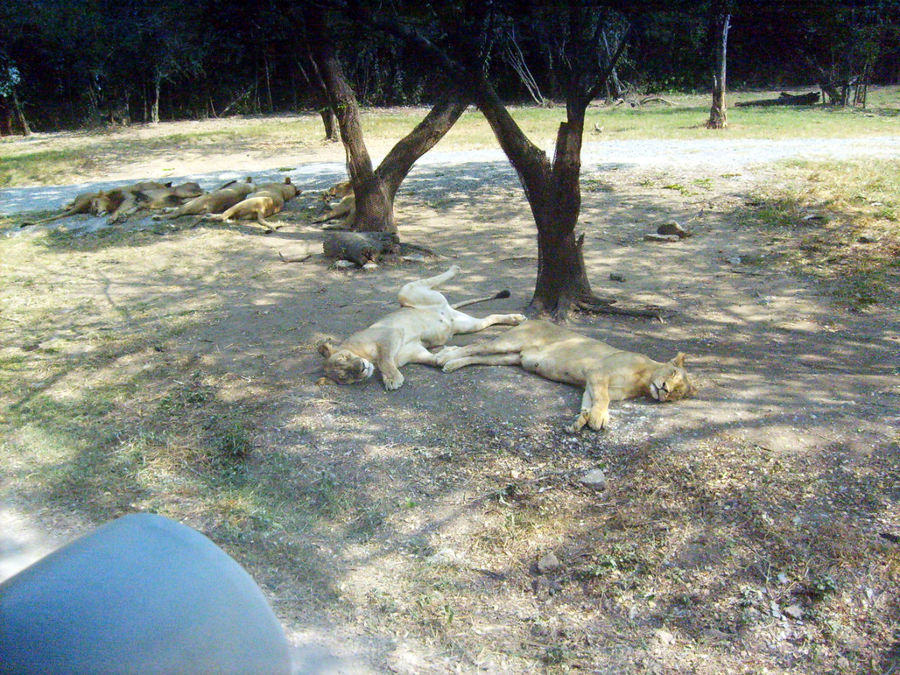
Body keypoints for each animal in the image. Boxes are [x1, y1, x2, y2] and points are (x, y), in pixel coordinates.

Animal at [318, 266, 524, 390]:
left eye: (345, 357)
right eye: (345, 375)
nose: (361, 368)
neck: (367, 358)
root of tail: (446, 308)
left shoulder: (389, 333)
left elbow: (385, 359)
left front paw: (392, 379)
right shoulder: (417, 352)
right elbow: (437, 360)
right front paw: (447, 354)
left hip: (406, 293)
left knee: (422, 281)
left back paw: (454, 268)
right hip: (466, 325)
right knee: (490, 318)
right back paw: (515, 319)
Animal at [436, 320, 696, 434]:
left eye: (678, 394)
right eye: (673, 373)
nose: (665, 391)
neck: (643, 381)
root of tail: (533, 319)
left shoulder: (590, 384)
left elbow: (591, 402)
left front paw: (582, 420)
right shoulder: (598, 373)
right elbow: (603, 400)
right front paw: (598, 419)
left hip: (511, 357)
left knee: (477, 356)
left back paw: (451, 362)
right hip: (508, 343)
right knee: (475, 346)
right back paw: (443, 357)